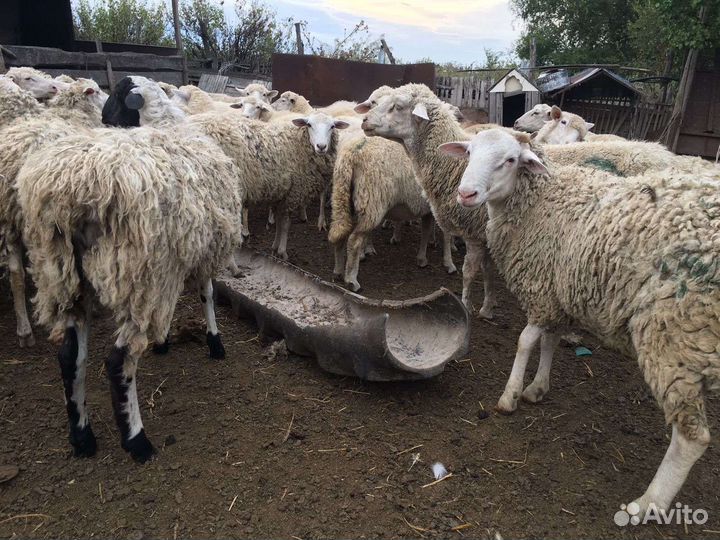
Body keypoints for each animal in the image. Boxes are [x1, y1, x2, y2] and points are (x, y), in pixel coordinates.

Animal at [17, 75, 244, 462]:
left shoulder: (176, 260)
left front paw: (164, 341)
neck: (167, 124)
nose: (104, 122)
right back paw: (137, 439)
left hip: (65, 276)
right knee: (117, 363)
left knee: (70, 357)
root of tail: (72, 193)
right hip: (138, 275)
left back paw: (82, 437)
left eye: (115, 100)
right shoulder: (195, 253)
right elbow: (207, 292)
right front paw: (214, 342)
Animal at [328, 133, 457, 291]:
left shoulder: (429, 207)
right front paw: (449, 263)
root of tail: (352, 152)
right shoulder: (443, 204)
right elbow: (446, 235)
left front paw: (422, 258)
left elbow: (426, 230)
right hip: (371, 201)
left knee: (340, 234)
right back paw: (352, 280)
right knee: (354, 240)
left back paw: (338, 271)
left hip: (343, 198)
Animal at [357, 83, 497, 318]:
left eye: (397, 106)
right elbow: (486, 271)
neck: (457, 166)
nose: (365, 120)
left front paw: (470, 306)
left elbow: (472, 271)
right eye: (374, 102)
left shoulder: (476, 234)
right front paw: (485, 308)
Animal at [442, 126, 720, 517]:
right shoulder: (557, 291)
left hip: (673, 338)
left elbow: (526, 341)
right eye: (468, 152)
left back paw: (648, 503)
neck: (542, 200)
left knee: (692, 438)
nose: (466, 194)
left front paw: (510, 395)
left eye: (510, 160)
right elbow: (550, 340)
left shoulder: (541, 288)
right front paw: (537, 388)